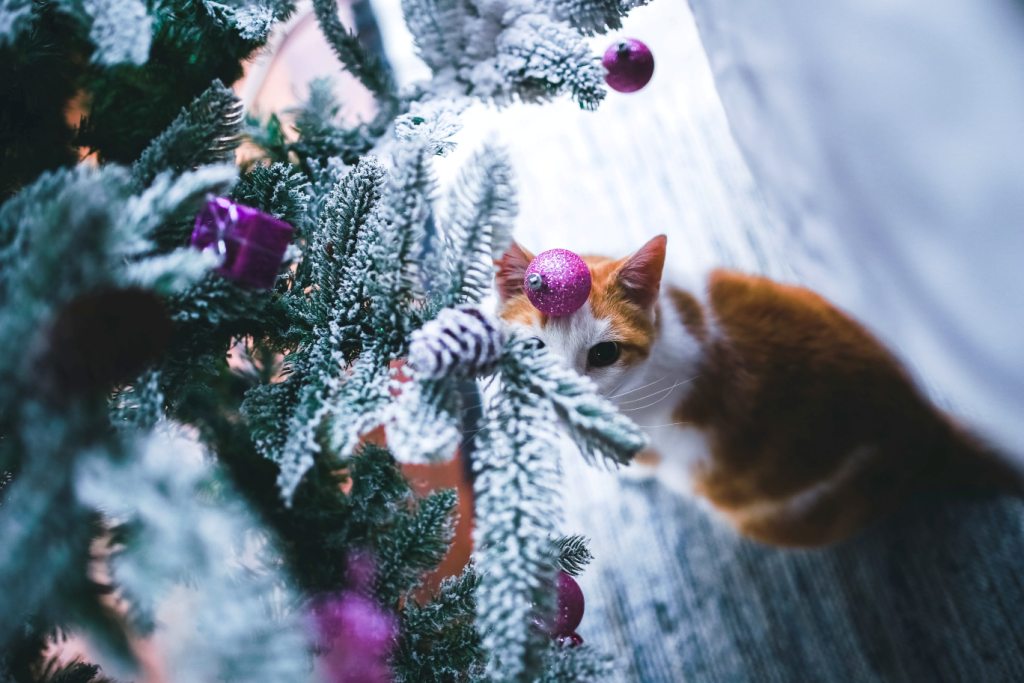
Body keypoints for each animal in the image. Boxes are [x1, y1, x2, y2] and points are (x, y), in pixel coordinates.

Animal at [493, 237, 1015, 548]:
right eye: (533, 346)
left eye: (603, 354)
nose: (558, 394)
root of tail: (922, 420)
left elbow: (644, 456)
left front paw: (630, 470)